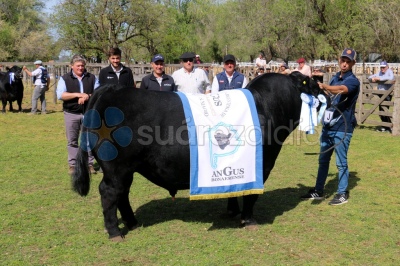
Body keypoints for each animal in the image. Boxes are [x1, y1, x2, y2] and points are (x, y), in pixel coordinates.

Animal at [72, 71, 322, 241]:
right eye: (311, 84)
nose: (325, 93)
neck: (266, 107)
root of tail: (110, 89)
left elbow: (234, 188)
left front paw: (232, 212)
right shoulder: (262, 164)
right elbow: (251, 195)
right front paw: (248, 219)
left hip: (126, 168)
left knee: (122, 194)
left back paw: (132, 223)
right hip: (116, 166)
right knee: (109, 192)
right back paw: (115, 231)